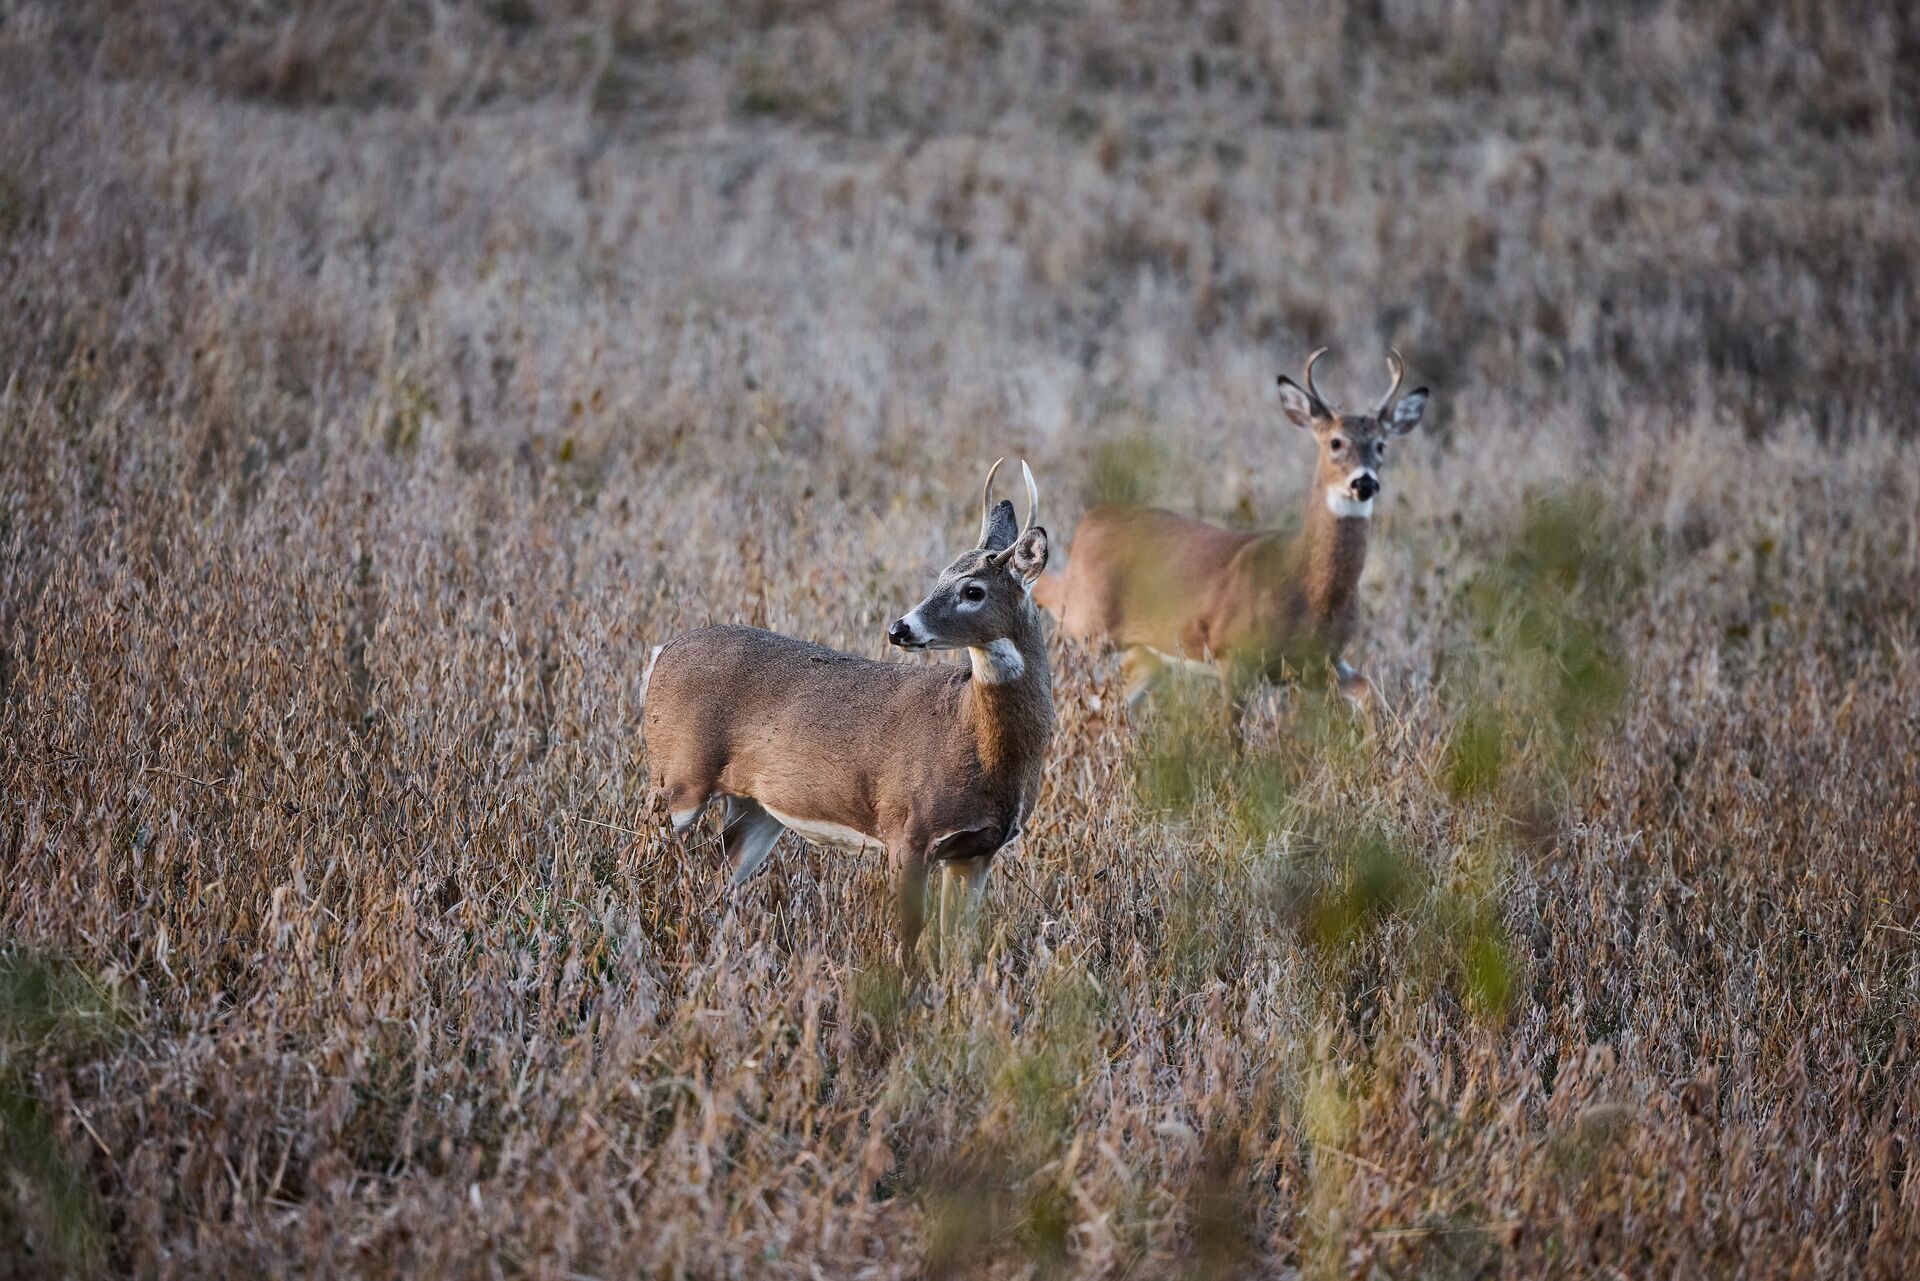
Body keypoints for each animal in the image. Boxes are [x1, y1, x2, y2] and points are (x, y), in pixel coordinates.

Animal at [640, 460, 1052, 968]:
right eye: (939, 576)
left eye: (972, 590)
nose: (899, 629)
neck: (976, 740)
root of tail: (660, 653)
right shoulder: (907, 829)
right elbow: (908, 938)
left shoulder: (976, 851)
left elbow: (958, 942)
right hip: (678, 776)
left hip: (756, 807)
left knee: (720, 878)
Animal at [1032, 348, 1428, 742]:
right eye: (1336, 442)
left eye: (1381, 445)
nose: (1364, 482)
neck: (1308, 589)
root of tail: (1091, 520)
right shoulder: (1232, 653)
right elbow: (1232, 737)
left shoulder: (1321, 662)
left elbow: (1370, 696)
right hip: (1087, 619)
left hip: (1147, 654)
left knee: (1102, 709)